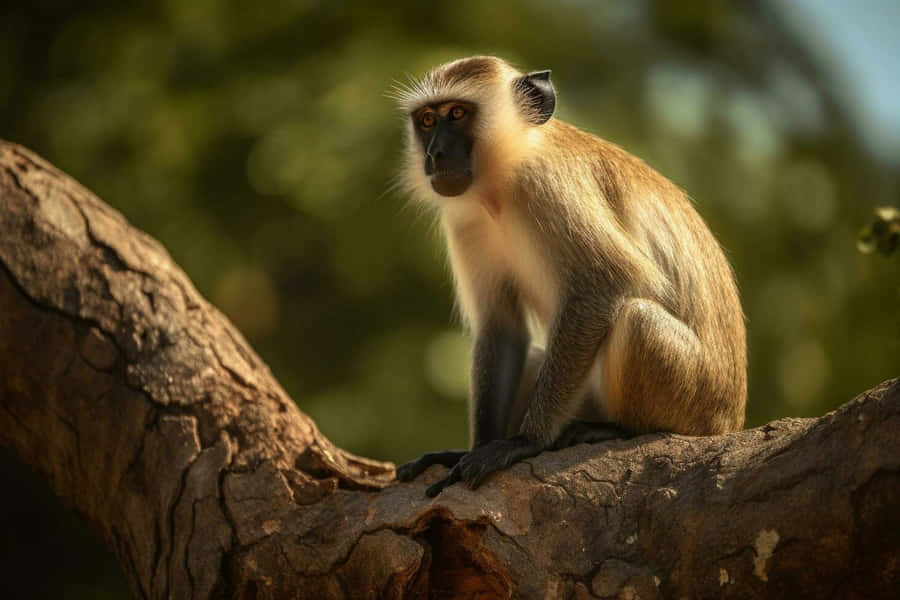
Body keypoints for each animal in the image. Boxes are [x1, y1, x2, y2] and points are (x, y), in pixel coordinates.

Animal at [392, 56, 747, 497]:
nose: (435, 153)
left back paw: (618, 429)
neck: (500, 188)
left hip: (699, 402)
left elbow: (604, 285)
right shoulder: (466, 219)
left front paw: (526, 441)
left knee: (638, 319)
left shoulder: (547, 184)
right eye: (426, 120)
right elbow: (502, 328)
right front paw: (471, 450)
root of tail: (731, 420)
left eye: (457, 114)